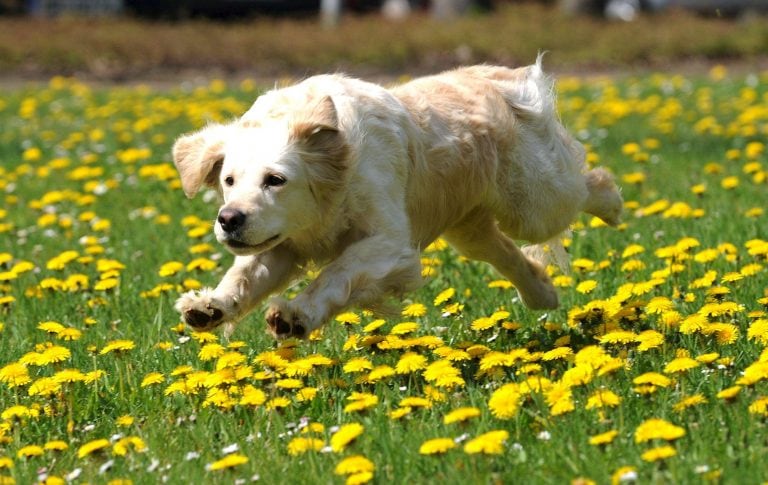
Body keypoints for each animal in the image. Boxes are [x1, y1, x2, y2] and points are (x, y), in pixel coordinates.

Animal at [171, 58, 620, 338]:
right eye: (229, 180)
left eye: (276, 180)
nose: (229, 219)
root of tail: (500, 76)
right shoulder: (285, 243)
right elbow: (244, 276)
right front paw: (209, 306)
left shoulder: (389, 243)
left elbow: (336, 273)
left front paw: (296, 315)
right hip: (470, 230)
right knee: (509, 255)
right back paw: (543, 293)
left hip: (532, 203)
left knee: (584, 185)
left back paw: (613, 203)